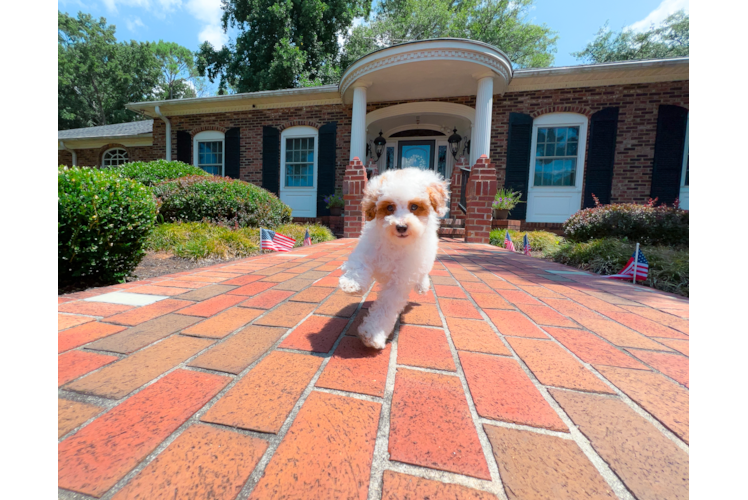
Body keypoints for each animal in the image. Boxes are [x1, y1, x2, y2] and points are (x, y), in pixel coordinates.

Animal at [340, 168, 450, 348]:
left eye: (414, 207)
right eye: (390, 207)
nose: (401, 227)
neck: (395, 244)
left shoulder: (399, 281)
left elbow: (386, 306)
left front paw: (373, 333)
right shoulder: (367, 250)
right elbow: (359, 265)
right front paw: (352, 284)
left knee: (422, 273)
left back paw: (422, 286)